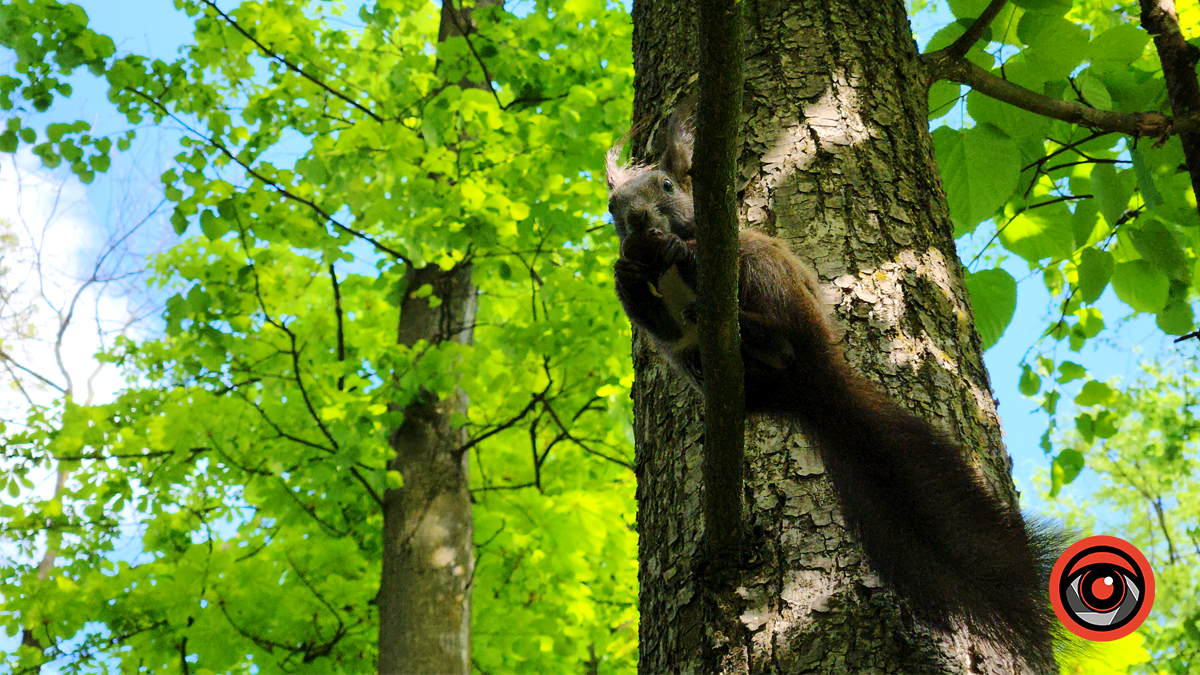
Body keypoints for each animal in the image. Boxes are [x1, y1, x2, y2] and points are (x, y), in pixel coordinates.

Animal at [604, 117, 1065, 672]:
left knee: (777, 329)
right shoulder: (665, 328)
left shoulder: (718, 241)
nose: (636, 220)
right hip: (710, 359)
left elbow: (692, 254)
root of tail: (813, 385)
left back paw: (756, 329)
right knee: (701, 354)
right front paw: (626, 275)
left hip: (769, 272)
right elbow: (657, 321)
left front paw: (680, 251)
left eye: (667, 186)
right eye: (613, 209)